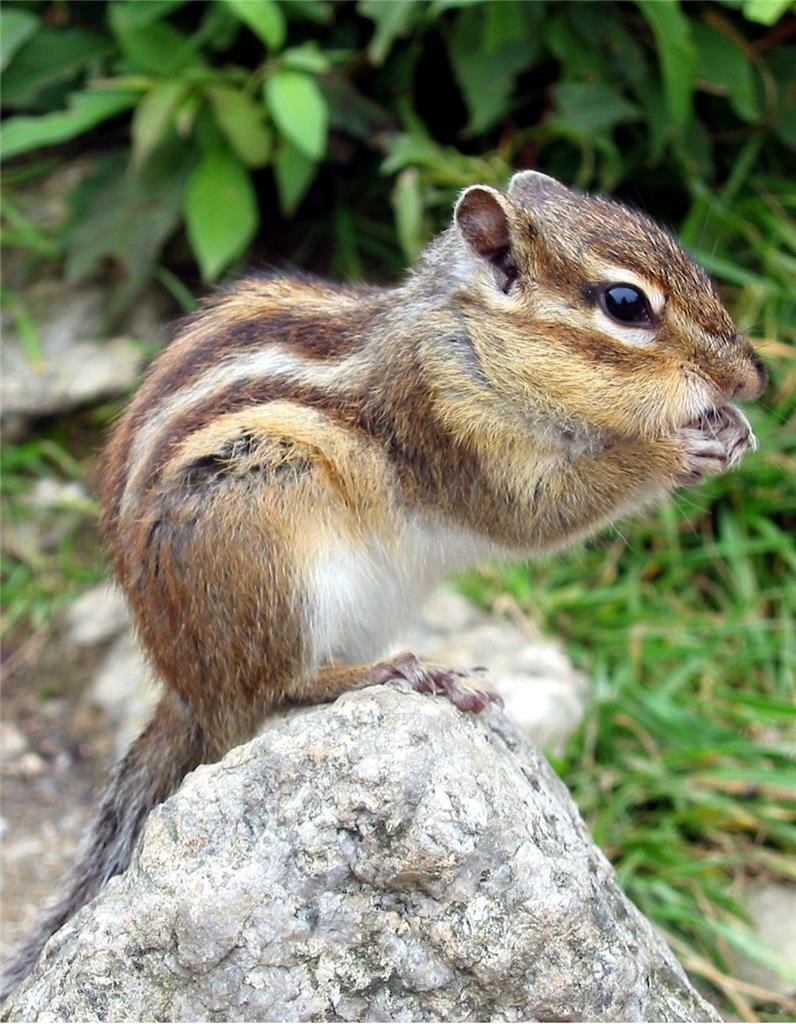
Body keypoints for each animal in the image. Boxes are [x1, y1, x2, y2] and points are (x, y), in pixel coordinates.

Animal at [2, 170, 766, 999]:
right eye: (626, 304)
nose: (754, 376)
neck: (470, 343)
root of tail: (186, 687)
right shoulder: (448, 429)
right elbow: (542, 512)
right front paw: (675, 450)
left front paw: (733, 428)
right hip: (268, 534)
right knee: (275, 690)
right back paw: (401, 672)